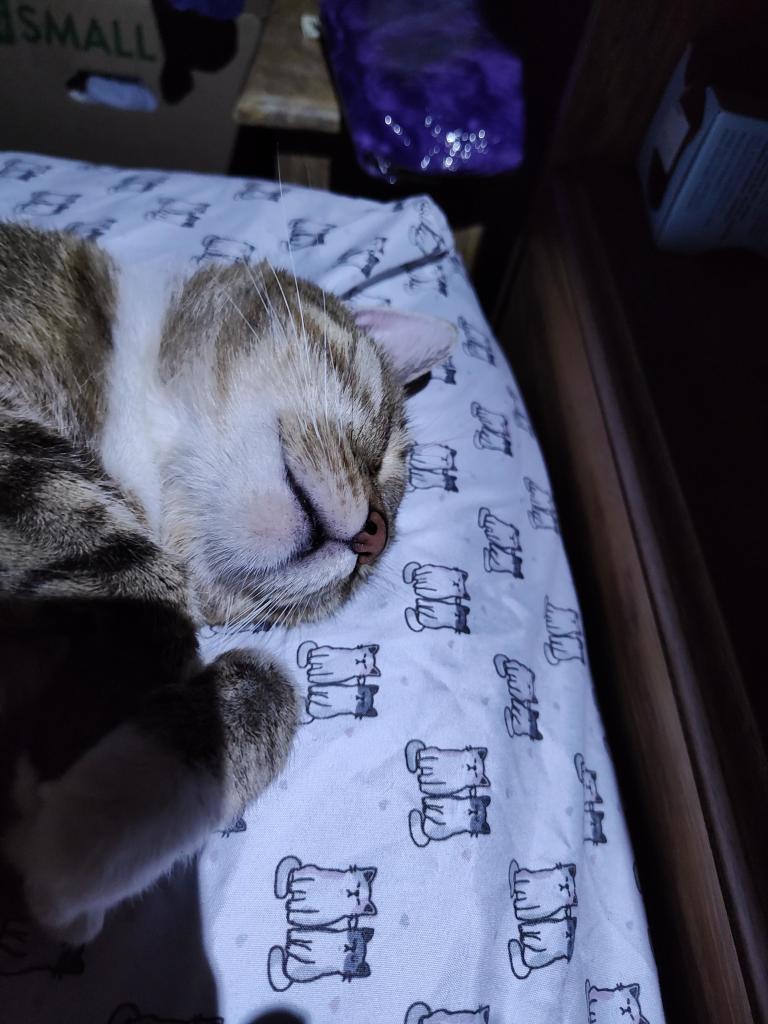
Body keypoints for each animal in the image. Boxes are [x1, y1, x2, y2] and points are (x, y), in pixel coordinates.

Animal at [0, 224, 456, 942]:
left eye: (361, 579)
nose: (376, 536)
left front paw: (71, 859)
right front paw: (65, 733)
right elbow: (137, 576)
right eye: (384, 439)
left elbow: (272, 687)